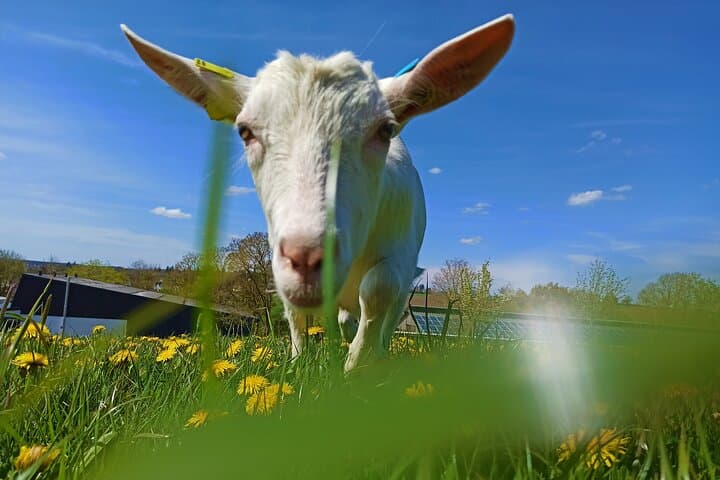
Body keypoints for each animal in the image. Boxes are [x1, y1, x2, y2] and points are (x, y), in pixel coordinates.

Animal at [121, 15, 514, 371]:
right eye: (245, 131)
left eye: (385, 130)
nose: (307, 257)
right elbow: (296, 313)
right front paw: (302, 365)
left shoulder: (400, 257)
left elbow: (379, 289)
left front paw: (356, 367)